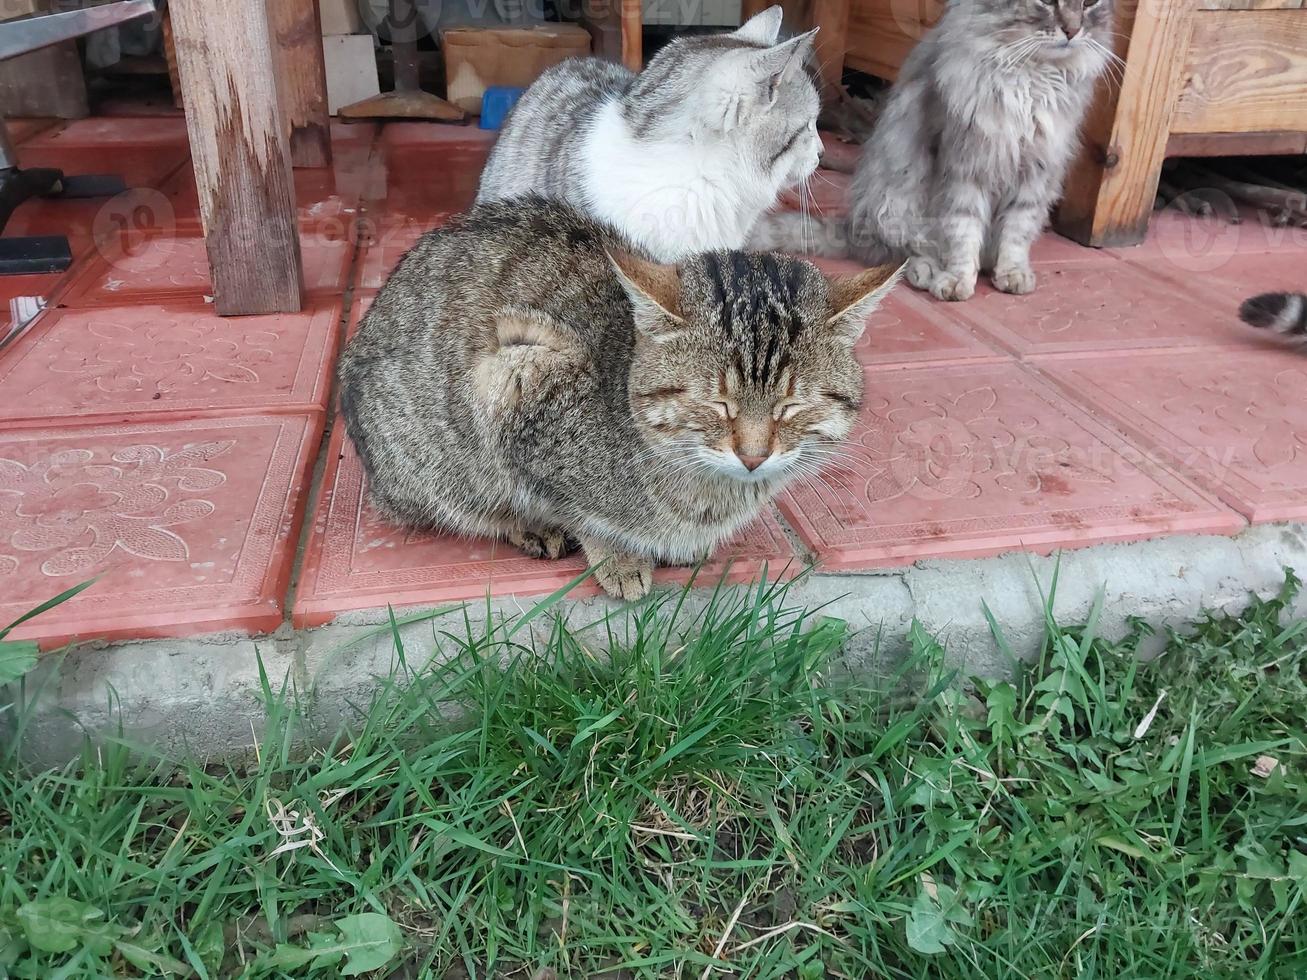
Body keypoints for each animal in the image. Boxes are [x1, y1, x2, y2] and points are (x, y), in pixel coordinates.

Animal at [337, 197, 899, 603]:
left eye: (791, 406)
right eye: (716, 403)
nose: (754, 456)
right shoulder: (521, 377)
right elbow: (581, 511)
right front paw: (618, 556)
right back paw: (526, 526)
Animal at [758, 0, 1113, 301]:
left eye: (1089, 4)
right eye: (1046, 2)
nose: (1072, 30)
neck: (1029, 78)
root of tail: (855, 229)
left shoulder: (1037, 171)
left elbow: (1017, 231)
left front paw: (1012, 274)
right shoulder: (964, 166)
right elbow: (963, 231)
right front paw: (957, 281)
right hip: (896, 204)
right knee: (905, 253)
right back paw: (926, 272)